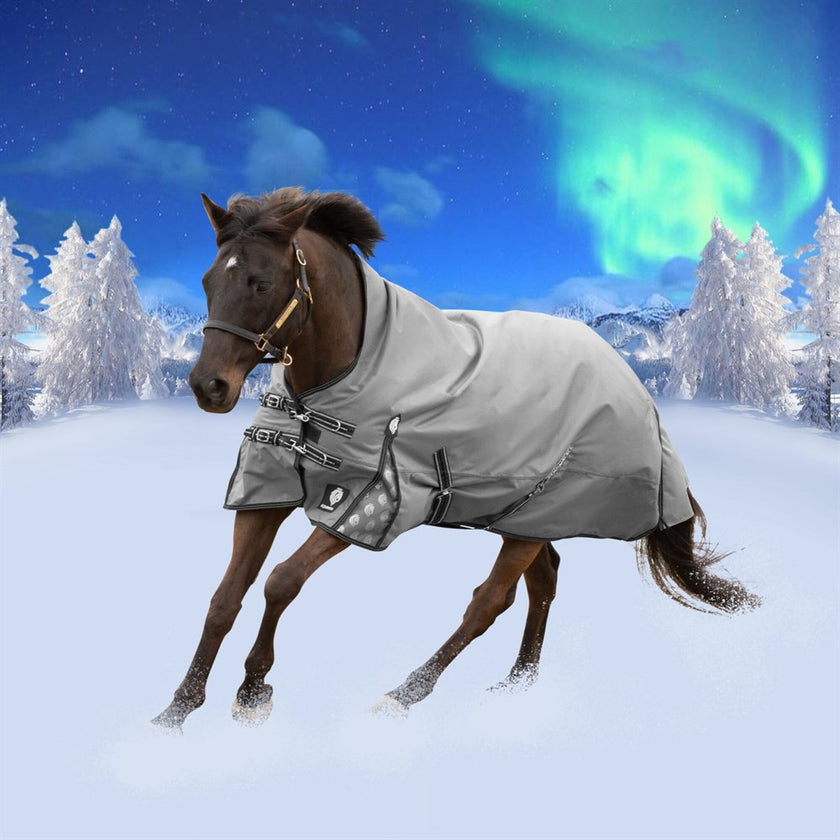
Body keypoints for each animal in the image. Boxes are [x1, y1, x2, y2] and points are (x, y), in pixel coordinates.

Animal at [152, 187, 759, 730]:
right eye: (209, 281)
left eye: (261, 282)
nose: (208, 386)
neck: (340, 373)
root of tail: (626, 375)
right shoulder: (268, 491)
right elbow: (224, 597)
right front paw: (177, 709)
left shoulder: (367, 501)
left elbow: (281, 582)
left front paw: (253, 691)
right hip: (526, 515)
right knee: (542, 583)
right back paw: (517, 684)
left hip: (541, 512)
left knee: (490, 601)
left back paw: (402, 696)